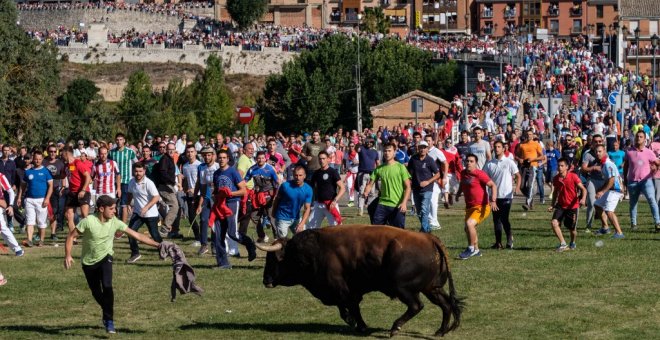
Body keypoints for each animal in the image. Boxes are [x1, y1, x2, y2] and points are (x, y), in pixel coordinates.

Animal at [254, 223, 464, 338]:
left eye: (272, 259)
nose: (265, 280)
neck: (313, 249)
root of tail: (429, 238)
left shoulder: (340, 289)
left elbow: (346, 308)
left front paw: (354, 323)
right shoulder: (350, 291)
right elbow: (351, 307)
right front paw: (359, 324)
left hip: (403, 289)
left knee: (416, 306)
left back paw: (395, 328)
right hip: (432, 288)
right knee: (446, 305)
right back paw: (440, 331)